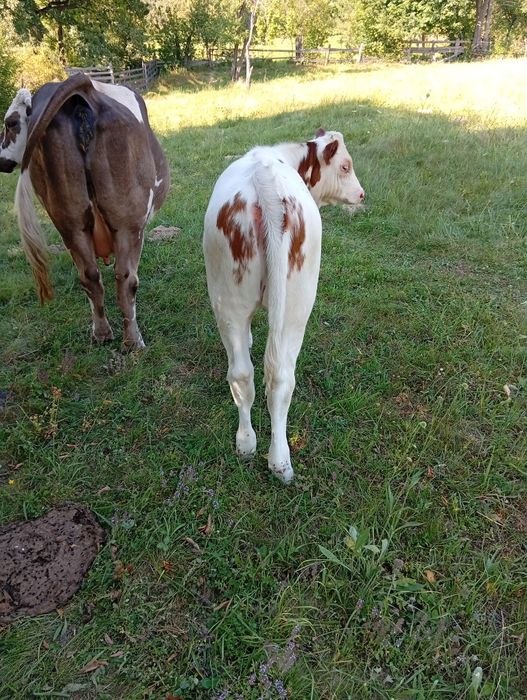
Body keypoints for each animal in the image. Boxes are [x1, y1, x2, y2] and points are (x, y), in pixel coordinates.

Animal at [0, 73, 169, 349]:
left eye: (11, 122)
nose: (1, 160)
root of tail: (83, 86)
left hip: (70, 223)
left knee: (90, 275)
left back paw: (101, 334)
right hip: (128, 223)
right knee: (126, 277)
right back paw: (133, 342)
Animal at [203, 129, 364, 483]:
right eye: (345, 166)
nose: (361, 194)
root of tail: (264, 179)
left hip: (228, 298)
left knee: (243, 373)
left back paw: (247, 443)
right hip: (297, 306)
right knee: (281, 379)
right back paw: (280, 461)